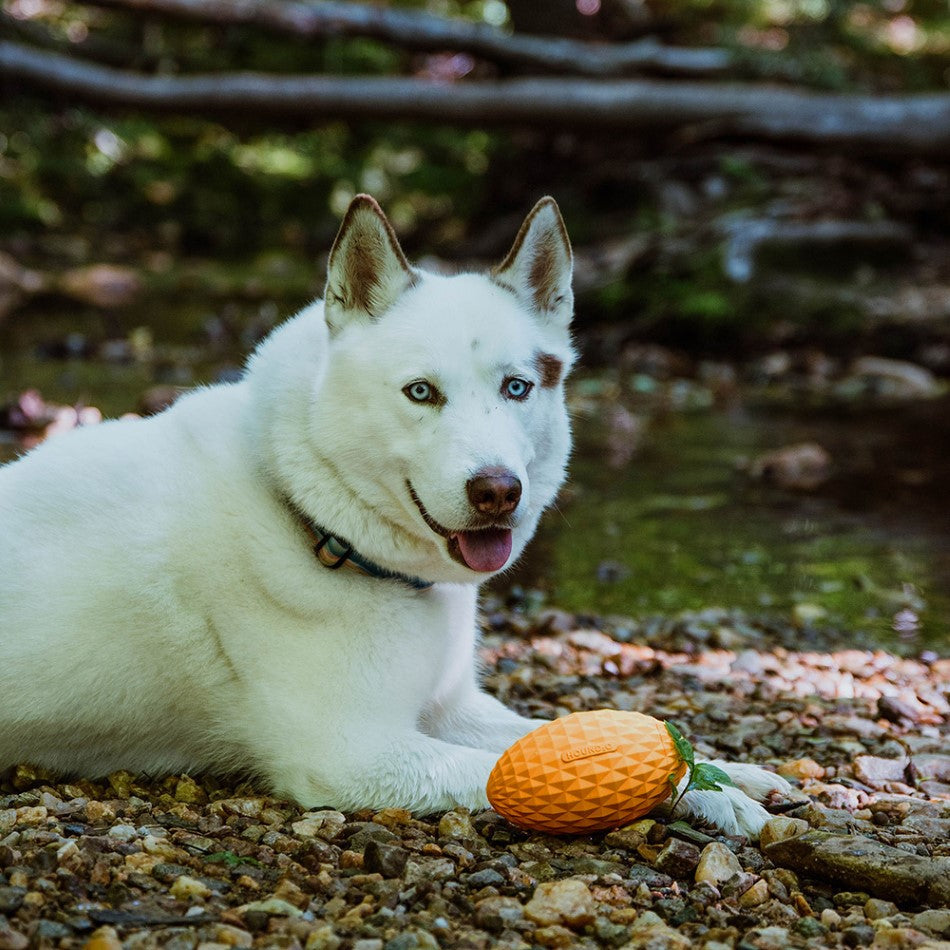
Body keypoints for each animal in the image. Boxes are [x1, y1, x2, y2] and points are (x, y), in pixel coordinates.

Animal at [0, 199, 788, 832]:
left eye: (517, 387)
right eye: (420, 392)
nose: (498, 491)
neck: (315, 524)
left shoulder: (453, 708)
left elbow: (569, 731)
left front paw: (729, 771)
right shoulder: (355, 754)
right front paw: (709, 796)